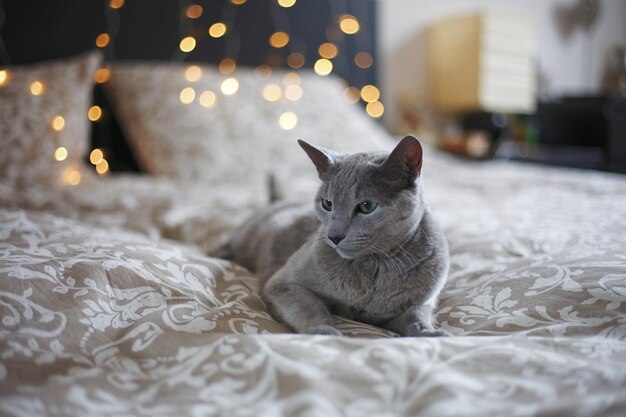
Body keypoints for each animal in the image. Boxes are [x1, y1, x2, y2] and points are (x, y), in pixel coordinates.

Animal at [214, 135, 448, 336]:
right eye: (327, 203)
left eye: (367, 206)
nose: (334, 236)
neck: (374, 266)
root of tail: (280, 200)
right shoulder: (283, 283)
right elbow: (310, 306)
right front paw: (324, 332)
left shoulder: (417, 305)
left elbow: (415, 316)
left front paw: (431, 333)